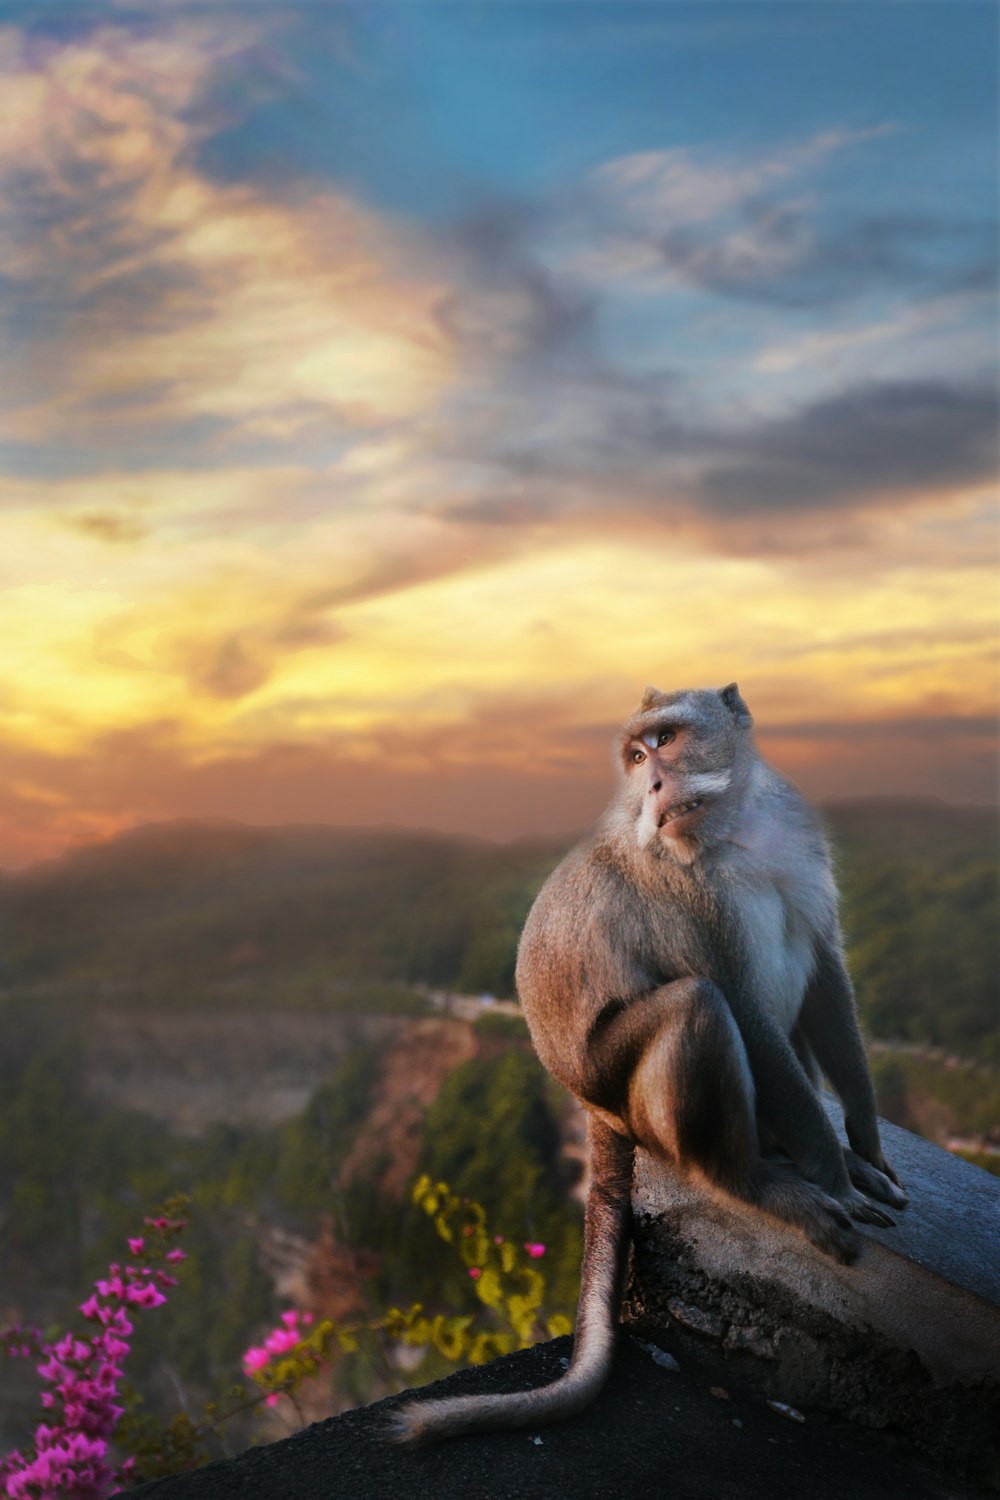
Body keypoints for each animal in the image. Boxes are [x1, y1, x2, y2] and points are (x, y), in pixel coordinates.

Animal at [389, 687, 905, 1446]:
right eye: (635, 757)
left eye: (663, 740)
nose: (653, 785)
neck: (735, 829)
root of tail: (590, 1105)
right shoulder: (682, 892)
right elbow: (741, 1007)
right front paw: (836, 1178)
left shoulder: (795, 834)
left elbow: (823, 971)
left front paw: (864, 1149)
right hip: (632, 1095)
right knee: (699, 1005)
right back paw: (756, 1183)